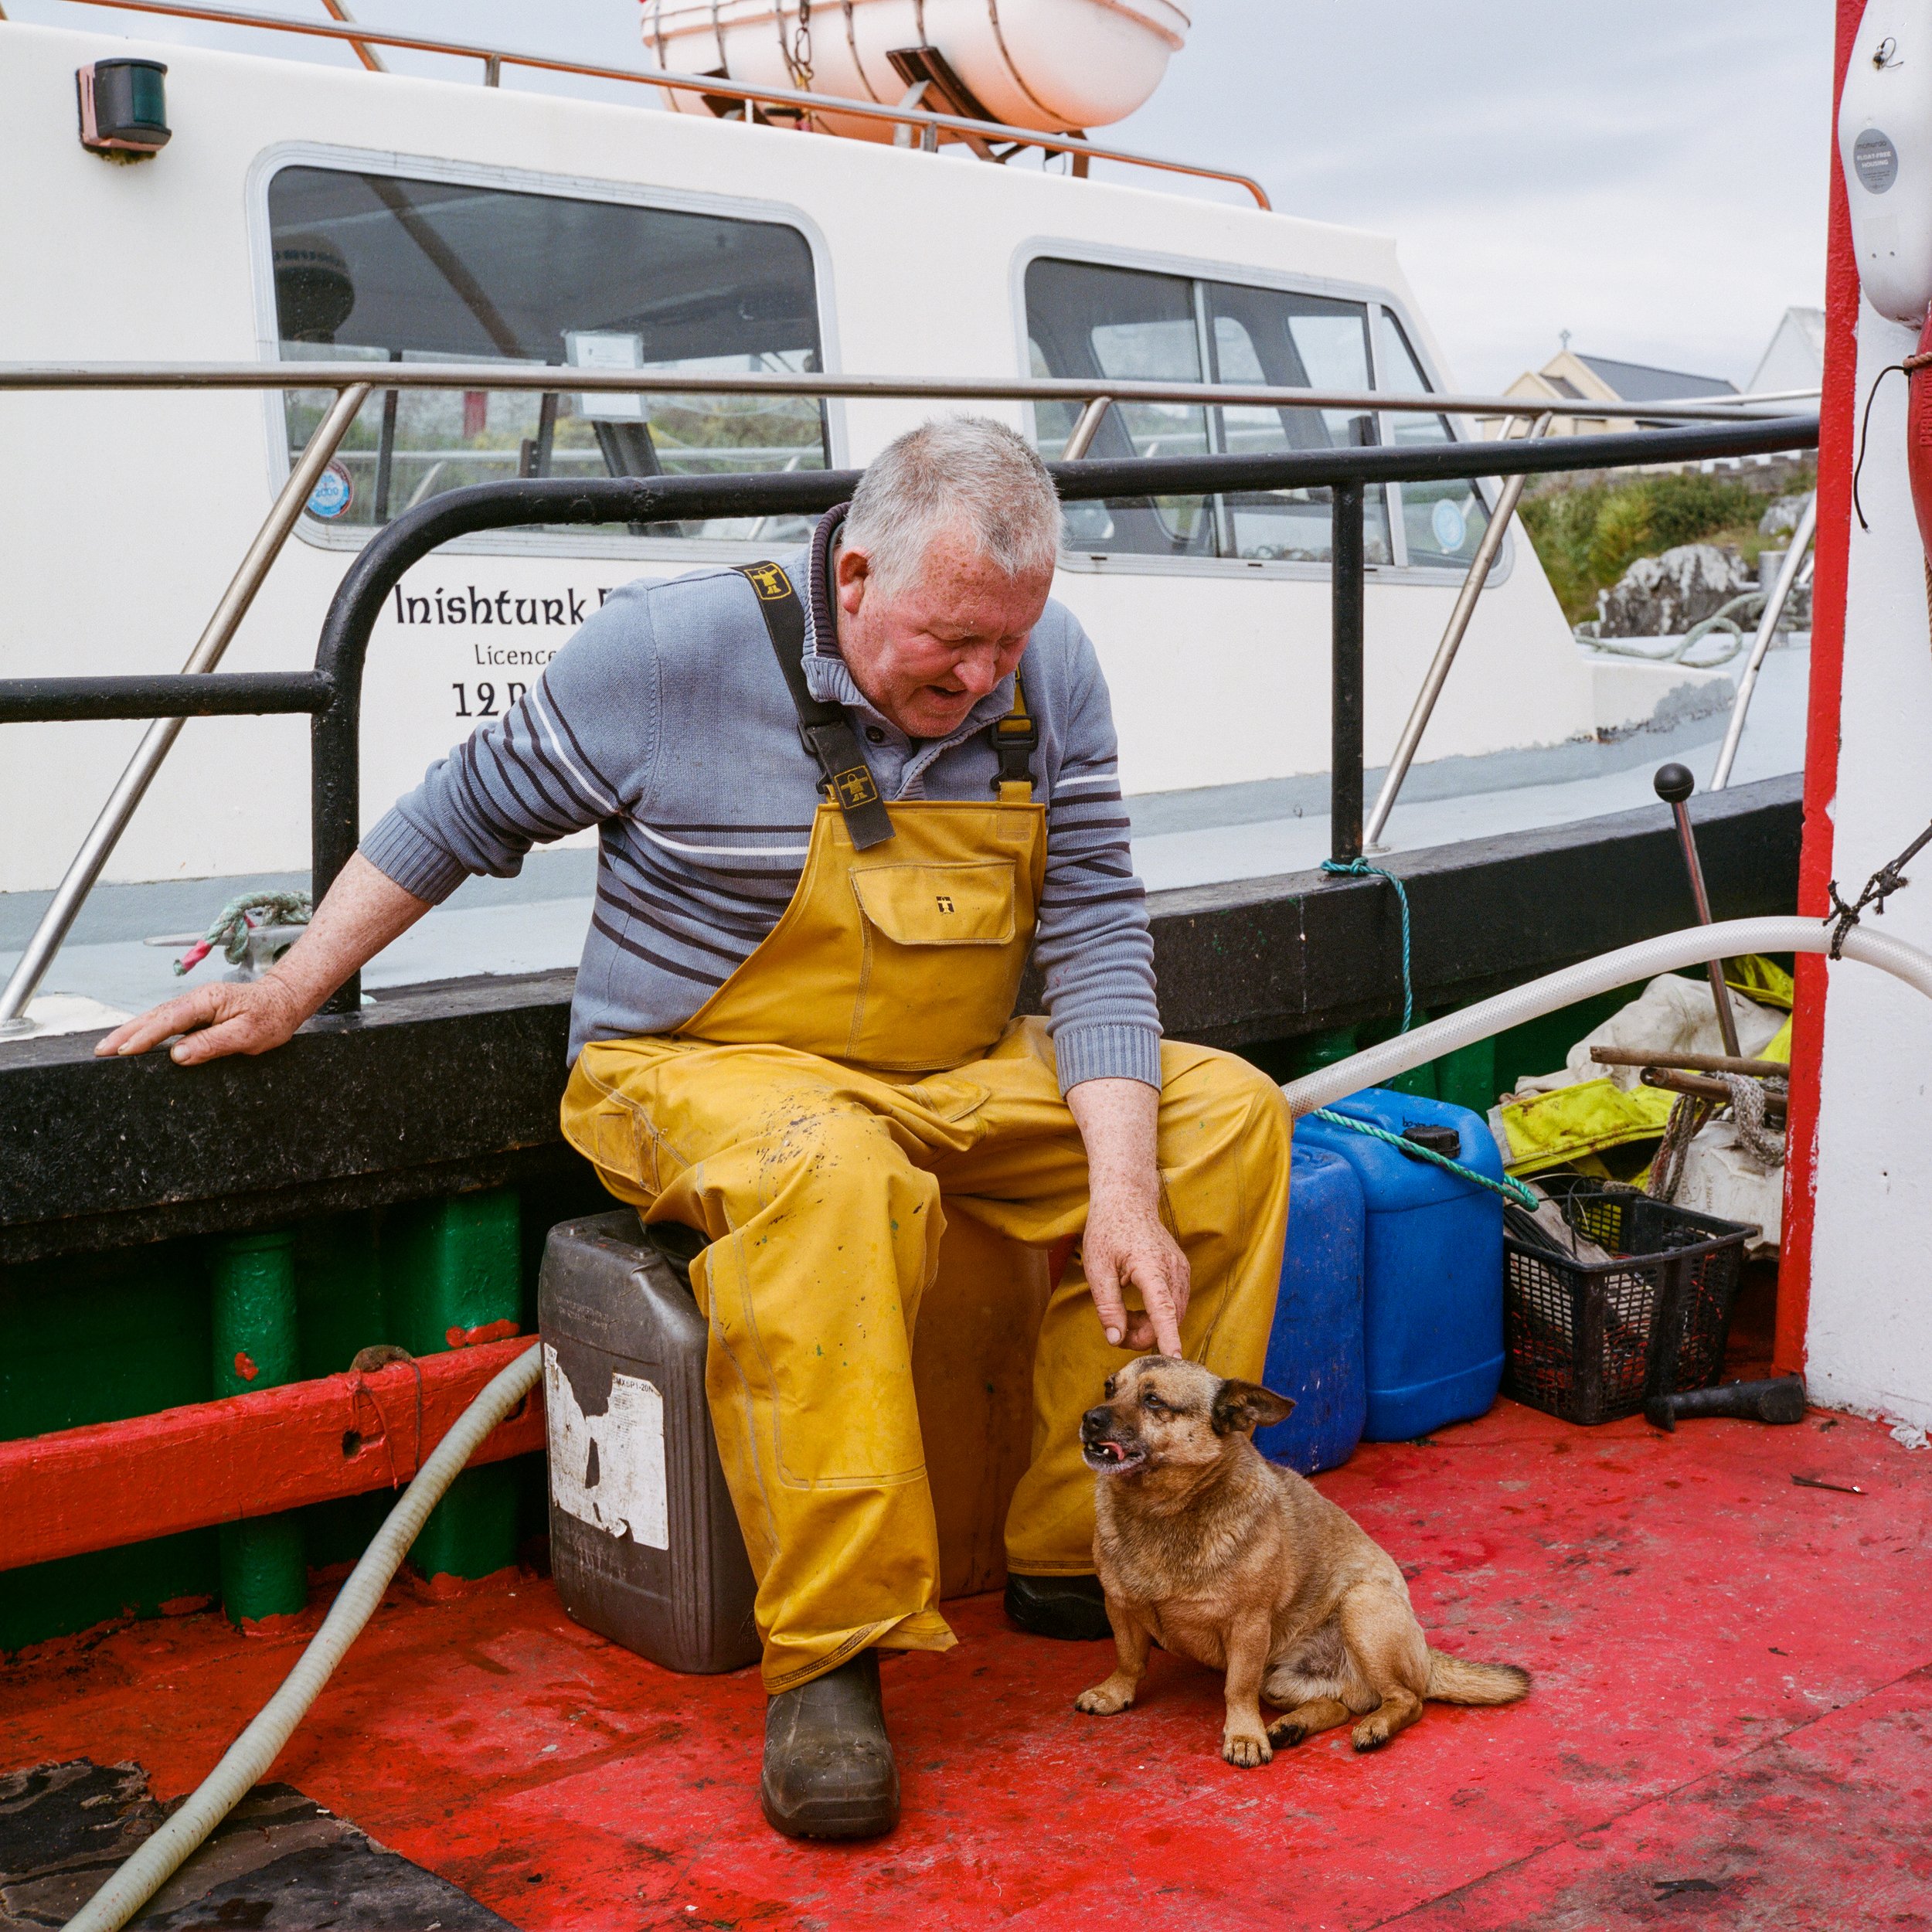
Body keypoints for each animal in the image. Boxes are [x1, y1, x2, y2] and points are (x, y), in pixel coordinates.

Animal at [1074, 1360, 1522, 1770]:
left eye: (1153, 1400)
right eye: (1109, 1387)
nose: (1089, 1417)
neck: (1157, 1511)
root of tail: (1427, 1656)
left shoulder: (1248, 1627)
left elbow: (1236, 1690)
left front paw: (1243, 1736)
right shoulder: (1119, 1605)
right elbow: (1129, 1659)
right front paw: (1114, 1693)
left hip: (1362, 1609)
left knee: (1408, 1701)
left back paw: (1375, 1727)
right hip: (1278, 1680)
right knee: (1338, 1706)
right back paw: (1292, 1726)